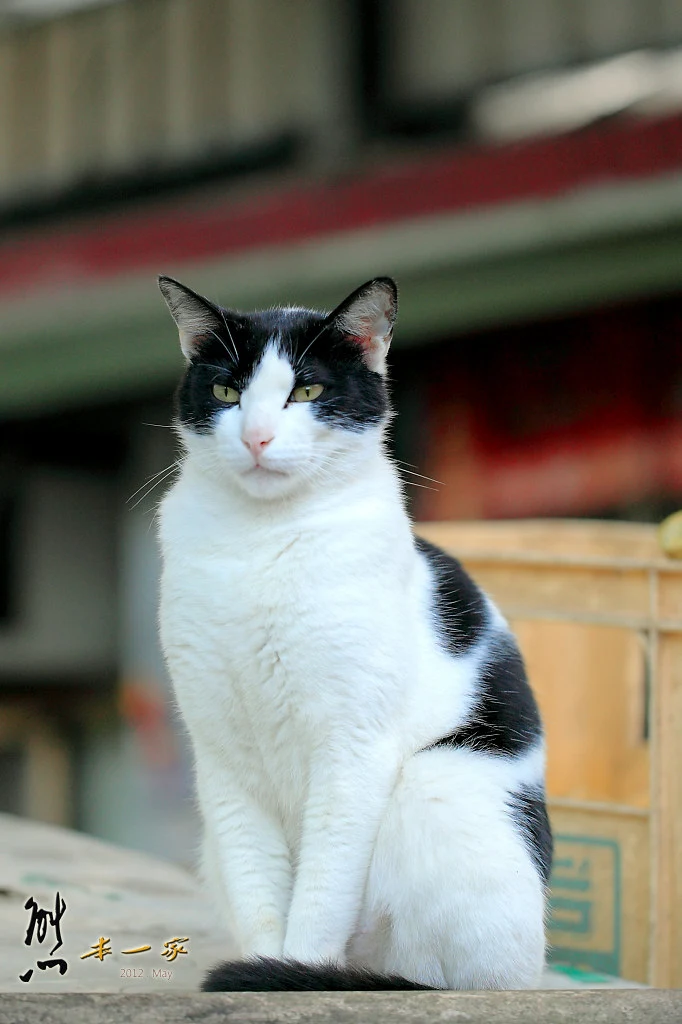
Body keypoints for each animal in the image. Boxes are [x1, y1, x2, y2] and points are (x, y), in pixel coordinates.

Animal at [156, 276, 548, 987]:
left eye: (307, 391)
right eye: (227, 393)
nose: (257, 437)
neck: (261, 542)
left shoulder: (351, 749)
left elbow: (320, 894)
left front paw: (291, 973)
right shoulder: (222, 755)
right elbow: (258, 887)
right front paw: (264, 965)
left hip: (434, 788)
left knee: (447, 981)